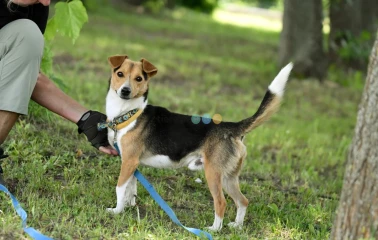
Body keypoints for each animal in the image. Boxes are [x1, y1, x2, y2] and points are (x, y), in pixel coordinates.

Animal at [105, 55, 294, 232]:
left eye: (139, 78)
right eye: (120, 74)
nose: (125, 91)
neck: (129, 113)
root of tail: (232, 127)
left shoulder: (129, 161)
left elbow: (119, 188)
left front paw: (116, 211)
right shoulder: (132, 164)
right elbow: (130, 189)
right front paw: (128, 206)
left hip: (213, 174)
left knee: (221, 202)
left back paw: (214, 229)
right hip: (229, 176)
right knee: (243, 201)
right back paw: (237, 226)